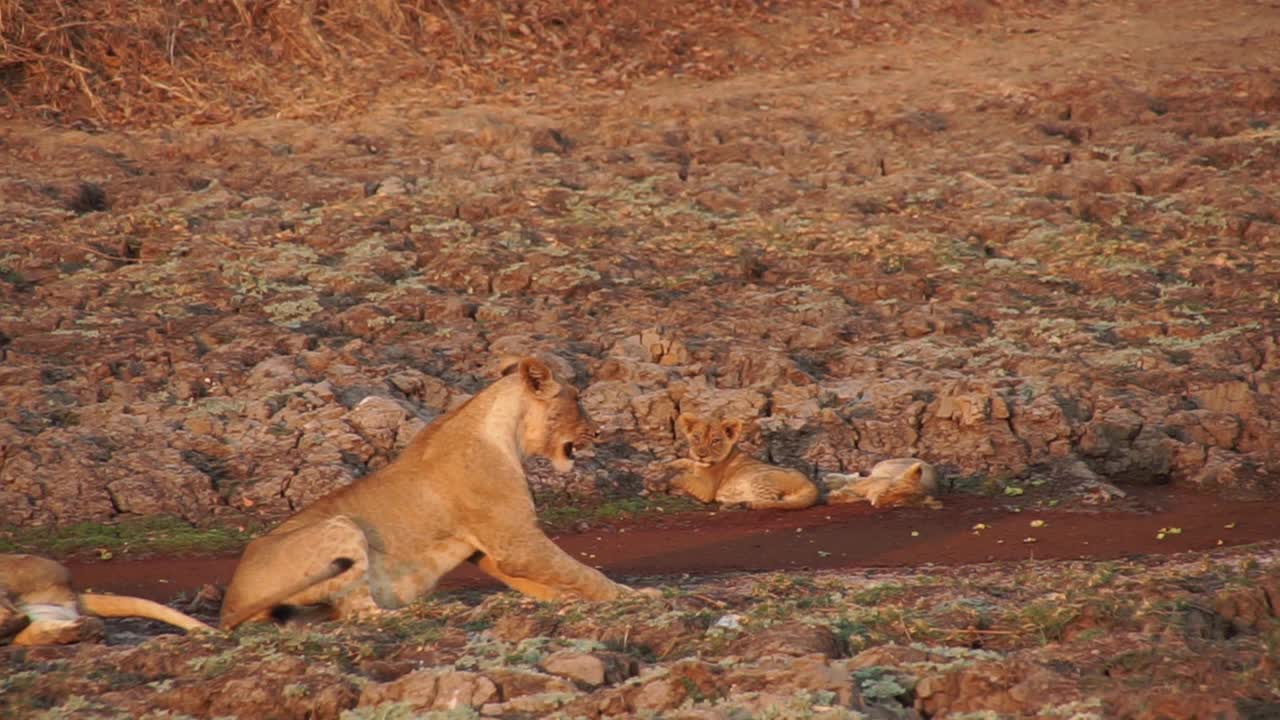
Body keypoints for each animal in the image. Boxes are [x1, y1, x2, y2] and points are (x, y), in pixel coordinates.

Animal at [225, 356, 640, 625]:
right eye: (577, 399)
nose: (599, 432)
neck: (508, 431)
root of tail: (231, 602)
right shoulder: (516, 543)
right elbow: (583, 572)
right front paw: (637, 596)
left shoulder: (492, 552)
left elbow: (546, 582)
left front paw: (569, 600)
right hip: (341, 527)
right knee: (364, 613)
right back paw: (442, 610)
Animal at [650, 409, 819, 509]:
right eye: (696, 437)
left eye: (715, 441)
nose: (701, 454)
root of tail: (813, 486)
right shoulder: (695, 465)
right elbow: (686, 462)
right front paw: (662, 466)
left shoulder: (706, 489)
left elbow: (682, 477)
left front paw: (662, 481)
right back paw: (731, 504)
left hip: (762, 478)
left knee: (773, 502)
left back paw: (744, 504)